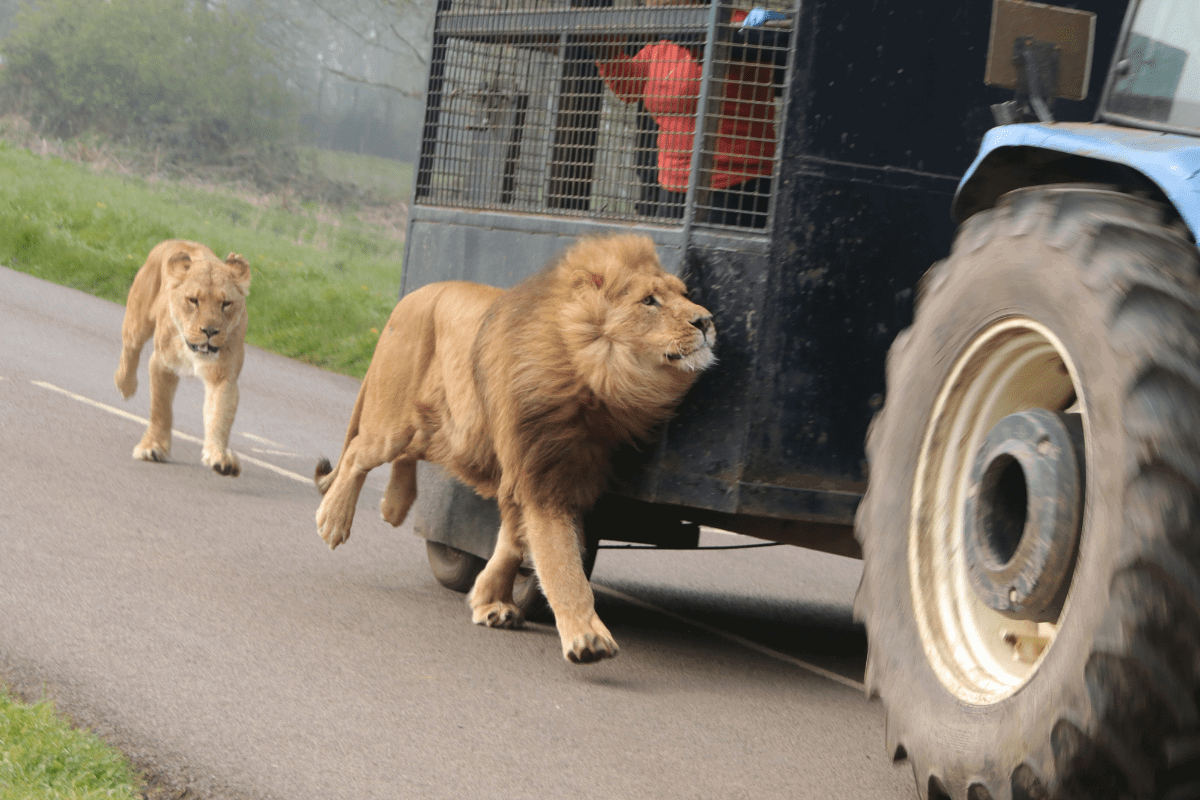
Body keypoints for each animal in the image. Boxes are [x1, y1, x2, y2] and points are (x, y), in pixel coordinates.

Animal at [113, 239, 251, 477]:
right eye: (193, 300)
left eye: (226, 303)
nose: (210, 331)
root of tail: (176, 241)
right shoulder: (162, 364)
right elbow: (160, 409)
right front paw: (153, 447)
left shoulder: (223, 377)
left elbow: (219, 417)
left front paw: (220, 458)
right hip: (137, 321)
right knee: (130, 349)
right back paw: (125, 385)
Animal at [314, 234, 715, 664]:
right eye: (649, 301)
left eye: (684, 295)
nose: (707, 322)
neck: (597, 374)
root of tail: (411, 296)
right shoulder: (541, 471)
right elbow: (560, 560)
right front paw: (586, 637)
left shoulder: (553, 468)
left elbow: (514, 542)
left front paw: (489, 600)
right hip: (394, 421)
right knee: (358, 452)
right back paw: (334, 520)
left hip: (449, 430)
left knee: (406, 453)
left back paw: (394, 504)